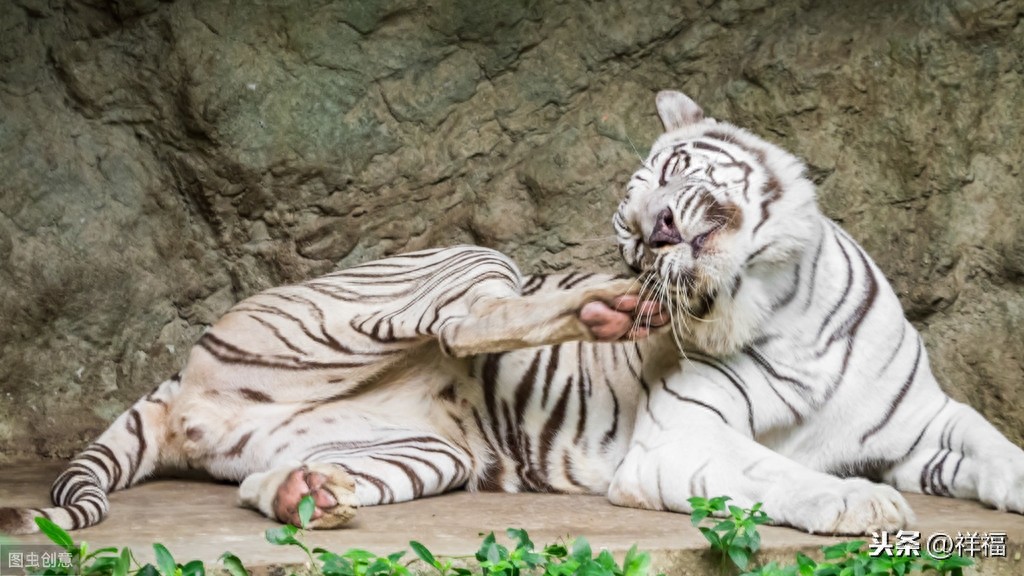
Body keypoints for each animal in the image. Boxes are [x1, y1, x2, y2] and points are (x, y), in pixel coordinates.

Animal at [2, 90, 1022, 537]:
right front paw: (859, 500)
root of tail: (179, 386)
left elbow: (1000, 451)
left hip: (426, 453)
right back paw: (597, 308)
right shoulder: (682, 440)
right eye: (628, 229)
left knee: (263, 487)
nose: (654, 235)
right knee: (467, 319)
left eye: (675, 170)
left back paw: (308, 495)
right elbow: (778, 471)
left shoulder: (930, 424)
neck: (782, 298)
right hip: (453, 269)